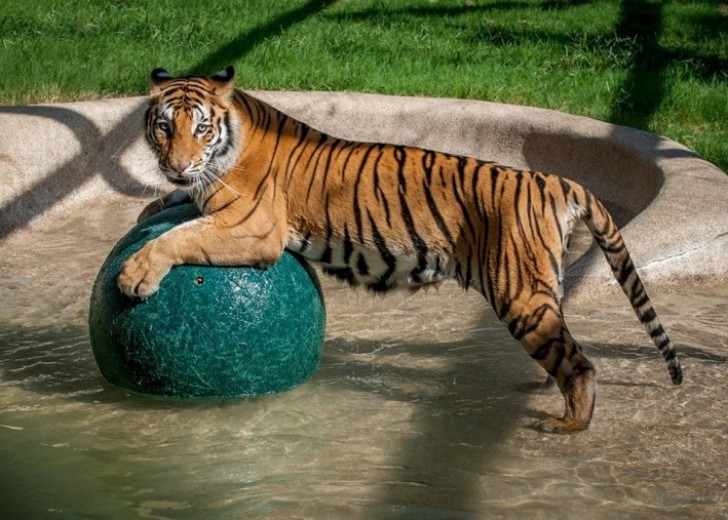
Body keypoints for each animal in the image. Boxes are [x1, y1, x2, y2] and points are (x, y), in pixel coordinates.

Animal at [118, 67, 684, 432]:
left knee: (580, 364)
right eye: (163, 125)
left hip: (520, 296)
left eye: (200, 126)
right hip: (542, 290)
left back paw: (567, 427)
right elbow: (169, 207)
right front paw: (153, 208)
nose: (175, 164)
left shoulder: (254, 228)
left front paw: (134, 273)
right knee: (564, 353)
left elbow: (182, 234)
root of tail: (550, 179)